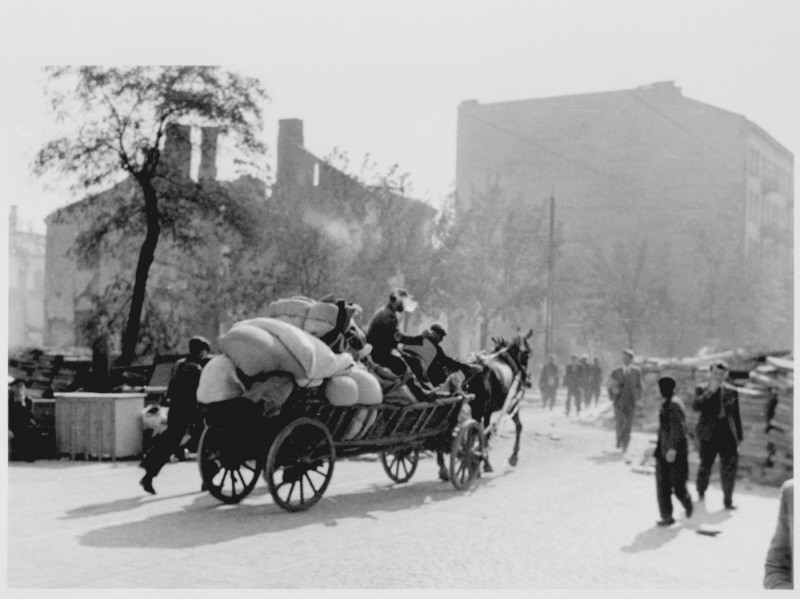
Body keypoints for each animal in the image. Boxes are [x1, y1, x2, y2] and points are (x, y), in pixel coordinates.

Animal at [438, 330, 532, 480]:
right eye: (527, 354)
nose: (528, 381)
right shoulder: (512, 404)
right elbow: (518, 426)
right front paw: (513, 457)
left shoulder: (487, 412)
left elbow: (485, 434)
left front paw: (484, 462)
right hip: (477, 408)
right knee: (470, 434)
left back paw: (444, 468)